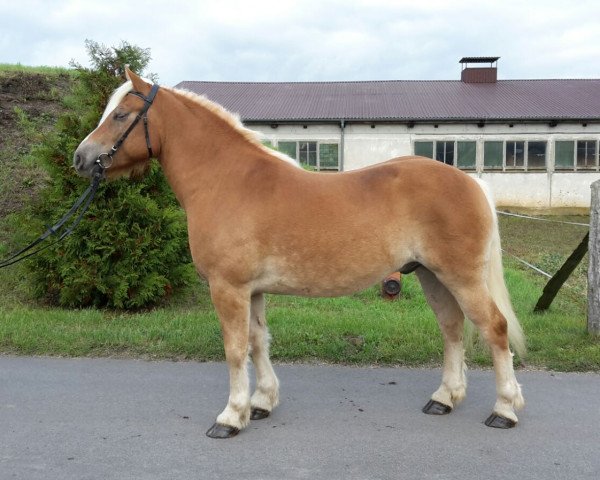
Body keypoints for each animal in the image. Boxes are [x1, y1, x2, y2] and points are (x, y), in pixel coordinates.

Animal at [75, 67, 524, 438]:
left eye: (121, 115)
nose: (81, 158)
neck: (227, 180)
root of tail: (471, 182)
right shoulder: (252, 290)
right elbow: (258, 342)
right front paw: (261, 403)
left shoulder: (228, 288)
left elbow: (234, 349)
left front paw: (231, 416)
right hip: (432, 275)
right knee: (452, 329)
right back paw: (444, 398)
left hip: (461, 277)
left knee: (494, 328)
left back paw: (504, 409)